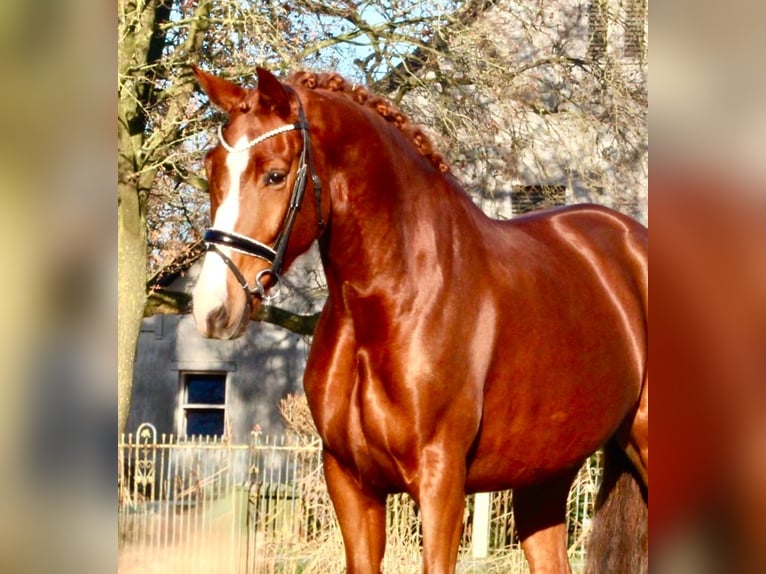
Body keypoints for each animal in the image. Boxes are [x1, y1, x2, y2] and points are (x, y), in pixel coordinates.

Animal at [192, 65, 648, 572]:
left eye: (274, 174)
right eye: (211, 169)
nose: (213, 307)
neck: (395, 300)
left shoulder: (440, 482)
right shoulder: (350, 482)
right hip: (545, 475)